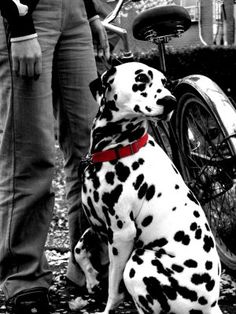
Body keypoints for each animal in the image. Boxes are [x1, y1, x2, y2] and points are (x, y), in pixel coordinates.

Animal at [74, 62, 222, 314]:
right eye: (141, 78)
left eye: (165, 83)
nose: (170, 101)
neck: (120, 148)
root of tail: (211, 304)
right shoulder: (98, 223)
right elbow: (78, 249)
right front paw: (92, 279)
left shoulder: (122, 234)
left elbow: (113, 288)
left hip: (139, 262)